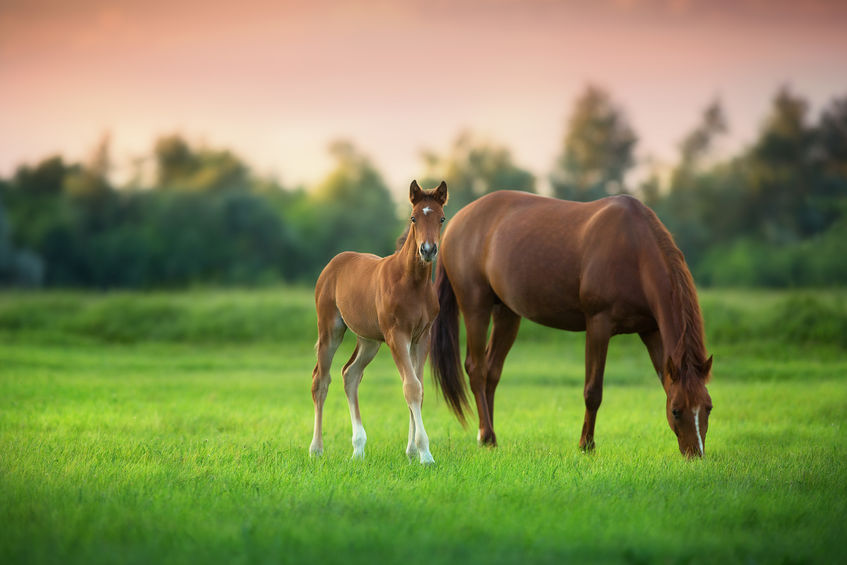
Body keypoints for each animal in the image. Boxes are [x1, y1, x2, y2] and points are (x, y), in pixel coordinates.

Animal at [308, 180, 448, 462]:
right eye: (413, 218)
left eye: (441, 218)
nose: (428, 250)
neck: (412, 283)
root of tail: (334, 262)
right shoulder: (397, 336)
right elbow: (411, 387)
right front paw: (425, 454)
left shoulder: (421, 337)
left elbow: (418, 389)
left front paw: (412, 451)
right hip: (330, 329)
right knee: (321, 380)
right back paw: (316, 449)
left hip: (369, 340)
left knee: (350, 374)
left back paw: (358, 448)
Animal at [430, 192, 716, 456]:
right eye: (676, 411)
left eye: (709, 408)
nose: (695, 454)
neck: (635, 250)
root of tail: (455, 222)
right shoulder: (599, 324)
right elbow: (593, 391)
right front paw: (586, 445)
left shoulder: (651, 330)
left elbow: (663, 381)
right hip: (475, 307)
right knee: (477, 369)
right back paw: (487, 434)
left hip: (507, 313)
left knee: (492, 371)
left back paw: (488, 436)